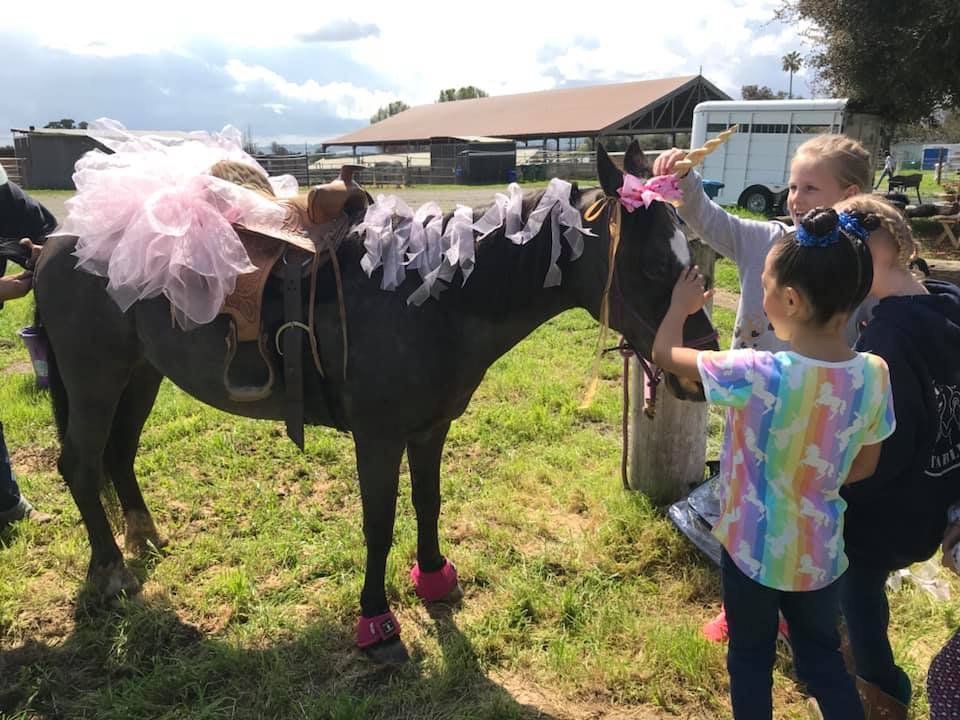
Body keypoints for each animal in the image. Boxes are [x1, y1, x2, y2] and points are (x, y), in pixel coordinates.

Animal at [33, 138, 716, 660]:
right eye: (654, 267)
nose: (699, 372)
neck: (430, 298)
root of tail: (59, 242)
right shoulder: (379, 438)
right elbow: (379, 524)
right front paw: (376, 620)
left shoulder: (430, 428)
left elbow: (428, 502)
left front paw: (435, 577)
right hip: (95, 378)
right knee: (81, 464)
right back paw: (111, 570)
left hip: (139, 375)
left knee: (119, 455)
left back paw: (142, 538)